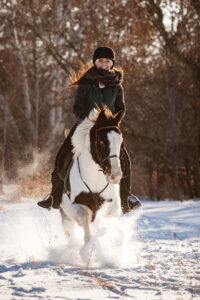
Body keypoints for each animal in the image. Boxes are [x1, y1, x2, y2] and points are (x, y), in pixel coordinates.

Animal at [60, 109, 123, 243]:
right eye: (101, 142)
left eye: (120, 141)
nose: (115, 175)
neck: (95, 180)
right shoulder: (78, 204)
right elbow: (85, 222)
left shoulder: (111, 205)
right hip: (65, 216)